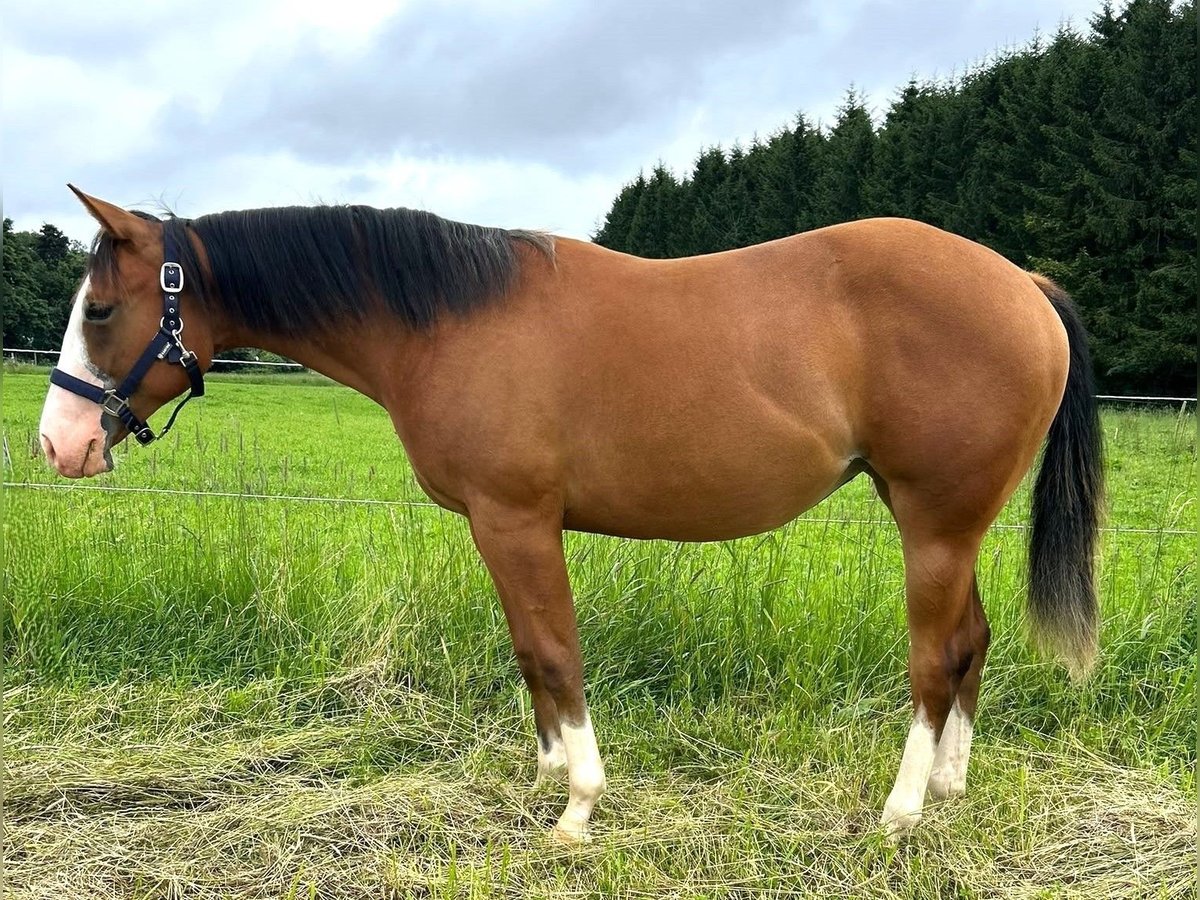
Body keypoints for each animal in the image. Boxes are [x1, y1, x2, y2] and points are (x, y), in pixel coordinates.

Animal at [39, 186, 1103, 843]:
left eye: (99, 310)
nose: (58, 444)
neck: (447, 319)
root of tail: (1024, 285)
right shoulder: (497, 526)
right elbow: (528, 651)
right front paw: (548, 775)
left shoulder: (516, 520)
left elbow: (555, 651)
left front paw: (579, 809)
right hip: (948, 529)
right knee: (970, 641)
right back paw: (952, 787)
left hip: (934, 525)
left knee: (933, 659)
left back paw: (901, 811)